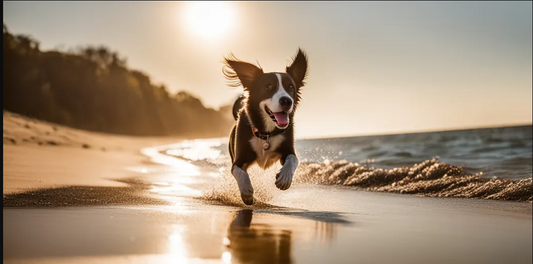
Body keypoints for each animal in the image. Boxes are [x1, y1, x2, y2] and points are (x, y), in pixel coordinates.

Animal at [223, 48, 308, 205]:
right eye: (269, 87)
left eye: (291, 87)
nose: (286, 101)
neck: (267, 132)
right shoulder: (239, 159)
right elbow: (239, 171)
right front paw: (246, 191)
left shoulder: (288, 148)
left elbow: (293, 159)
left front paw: (285, 177)